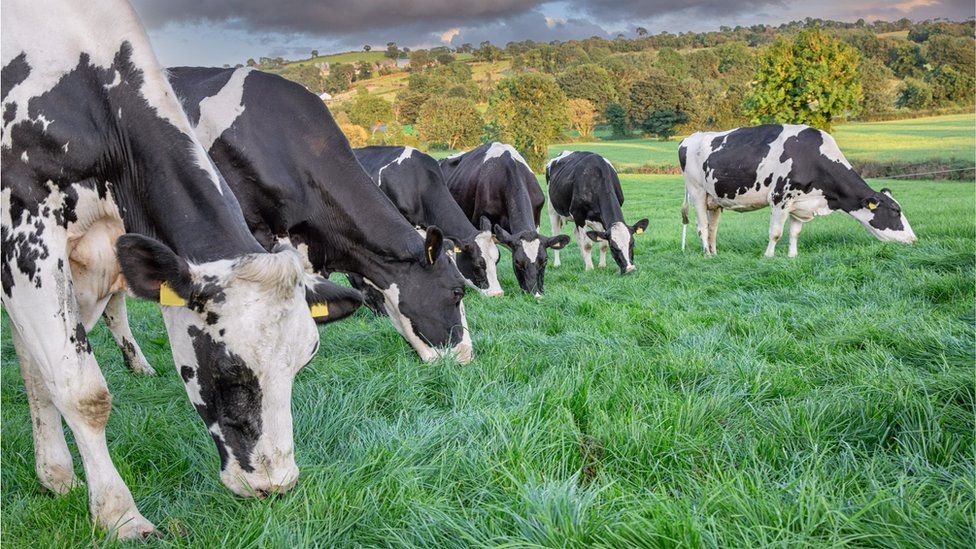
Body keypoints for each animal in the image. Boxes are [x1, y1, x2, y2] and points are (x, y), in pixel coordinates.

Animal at [1, 0, 360, 536]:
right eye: (230, 371)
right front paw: (119, 515)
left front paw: (57, 476)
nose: (275, 485)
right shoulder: (23, 230)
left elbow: (41, 369)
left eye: (304, 362)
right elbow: (83, 390)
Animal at [680, 124, 916, 256]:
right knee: (702, 226)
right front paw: (768, 256)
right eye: (895, 211)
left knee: (712, 228)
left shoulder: (800, 203)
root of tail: (689, 138)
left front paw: (792, 256)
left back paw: (714, 253)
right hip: (697, 191)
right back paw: (706, 255)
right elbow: (776, 232)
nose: (914, 239)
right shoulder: (779, 197)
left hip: (715, 199)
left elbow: (794, 232)